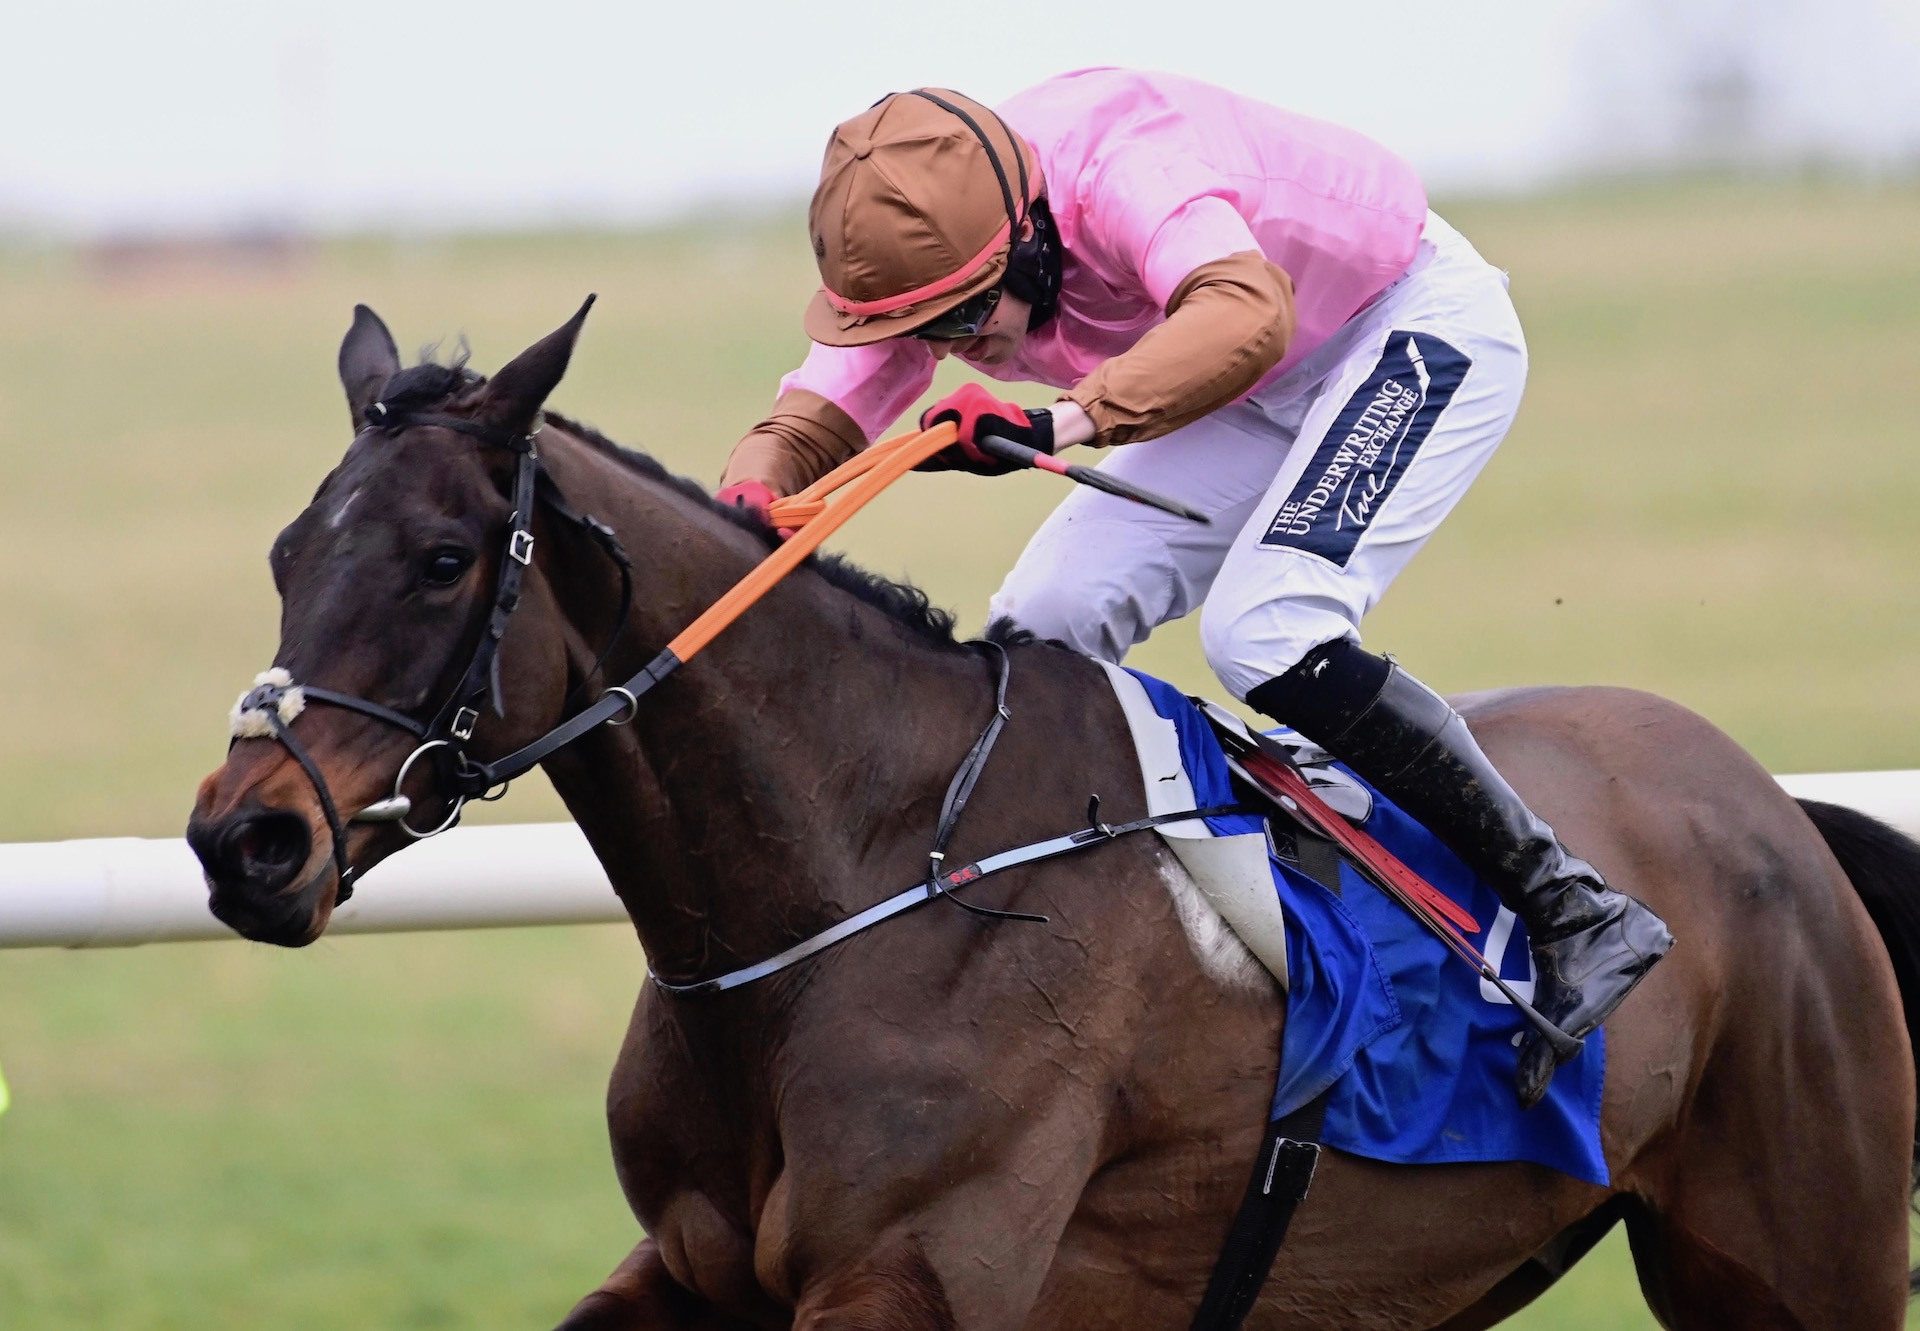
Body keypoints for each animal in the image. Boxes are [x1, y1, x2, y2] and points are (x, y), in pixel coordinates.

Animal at [187, 305, 1920, 1321]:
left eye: (441, 559)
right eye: (286, 550)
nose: (243, 838)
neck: (863, 876)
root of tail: (1777, 809)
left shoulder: (912, 1280)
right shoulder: (687, 1268)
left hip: (1796, 1248)